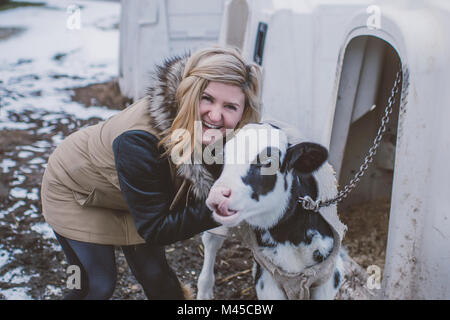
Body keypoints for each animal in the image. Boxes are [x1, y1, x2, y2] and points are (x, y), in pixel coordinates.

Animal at [197, 122, 344, 300]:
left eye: (268, 162)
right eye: (222, 157)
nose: (218, 195)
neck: (289, 236)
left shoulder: (328, 278)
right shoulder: (267, 279)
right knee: (211, 242)